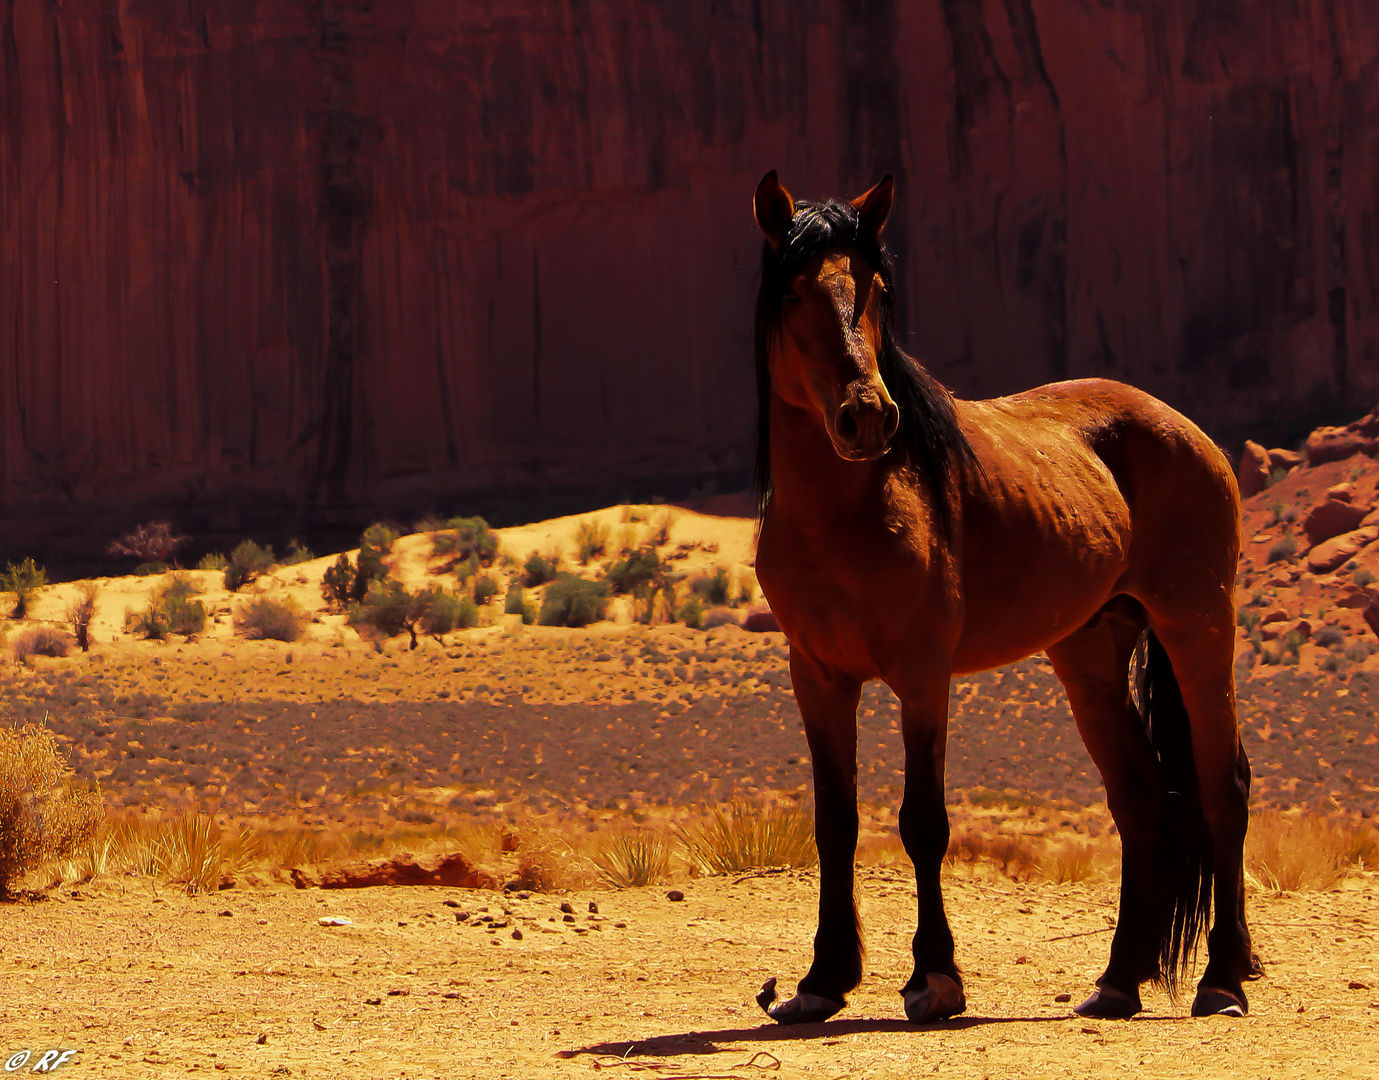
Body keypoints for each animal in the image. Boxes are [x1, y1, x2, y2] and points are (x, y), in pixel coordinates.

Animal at [750, 173, 1257, 1026]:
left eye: (876, 289)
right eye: (791, 292)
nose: (867, 417)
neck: (845, 513)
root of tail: (1182, 427)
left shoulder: (923, 676)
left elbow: (922, 822)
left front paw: (933, 980)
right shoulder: (816, 677)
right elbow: (834, 823)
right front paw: (821, 981)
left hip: (1197, 628)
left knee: (1221, 785)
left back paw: (1222, 978)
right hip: (1090, 651)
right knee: (1140, 799)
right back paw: (1116, 982)